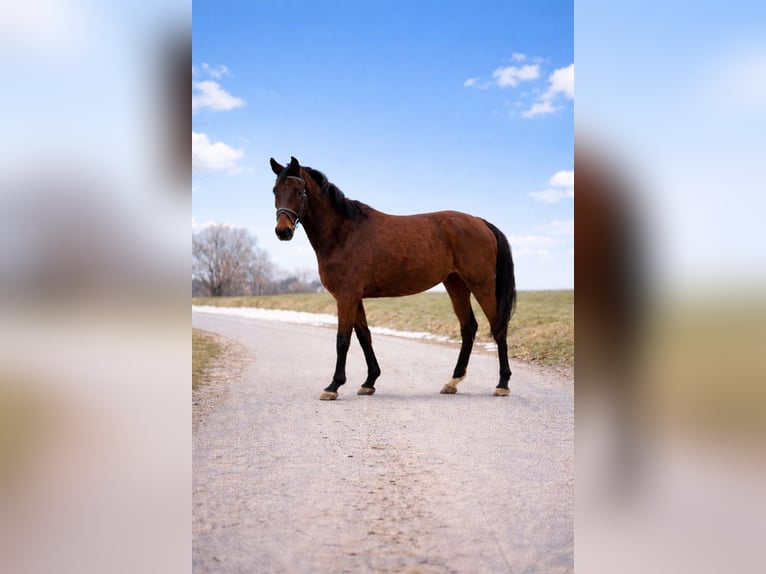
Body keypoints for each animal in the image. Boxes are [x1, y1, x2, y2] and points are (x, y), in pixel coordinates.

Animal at [270, 156, 516, 400]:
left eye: (299, 191)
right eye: (275, 191)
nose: (283, 232)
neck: (344, 233)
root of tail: (480, 222)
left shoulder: (346, 297)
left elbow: (343, 340)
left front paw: (333, 386)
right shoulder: (354, 297)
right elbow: (364, 336)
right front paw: (369, 381)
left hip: (481, 285)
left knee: (498, 328)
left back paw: (502, 384)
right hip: (456, 284)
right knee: (468, 327)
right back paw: (452, 382)